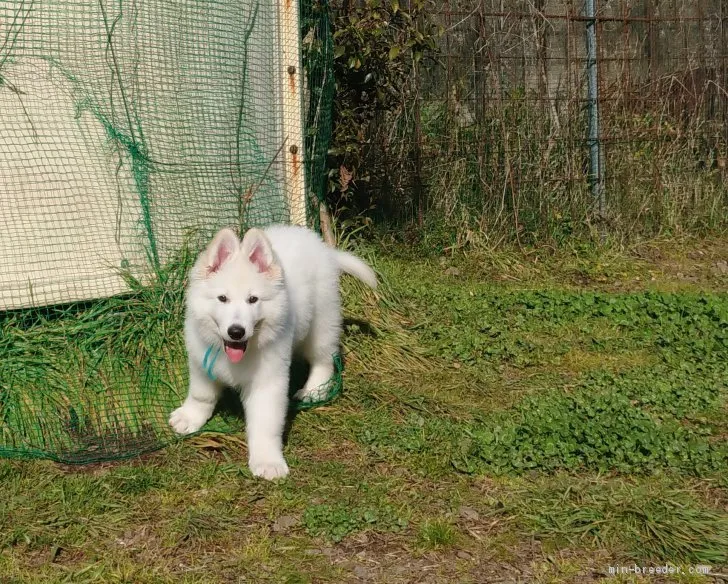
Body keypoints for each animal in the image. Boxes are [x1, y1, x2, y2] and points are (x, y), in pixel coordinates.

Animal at [168, 224, 378, 480]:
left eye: (253, 300)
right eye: (222, 298)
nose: (236, 332)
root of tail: (320, 245)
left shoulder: (268, 382)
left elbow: (265, 424)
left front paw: (267, 461)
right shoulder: (201, 361)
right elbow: (201, 395)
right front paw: (190, 418)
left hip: (321, 322)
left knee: (324, 359)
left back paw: (314, 390)